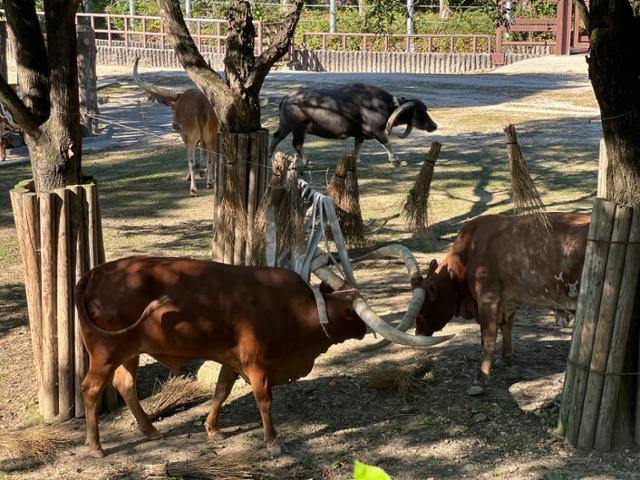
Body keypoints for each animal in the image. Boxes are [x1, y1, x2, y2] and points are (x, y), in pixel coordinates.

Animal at [77, 248, 452, 458]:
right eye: (351, 312)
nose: (364, 326)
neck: (292, 309)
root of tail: (95, 272)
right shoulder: (257, 364)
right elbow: (264, 401)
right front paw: (274, 443)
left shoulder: (231, 359)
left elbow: (221, 391)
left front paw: (213, 429)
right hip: (106, 351)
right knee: (91, 390)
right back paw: (95, 447)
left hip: (130, 350)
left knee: (125, 385)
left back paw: (151, 431)